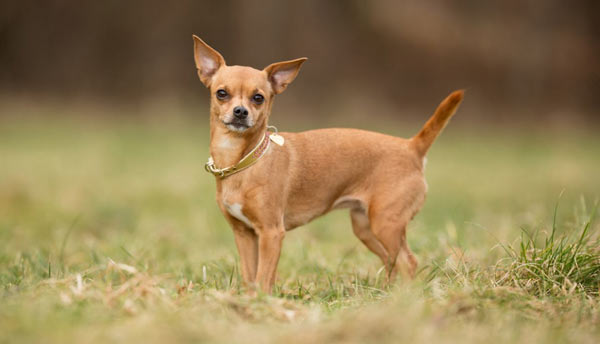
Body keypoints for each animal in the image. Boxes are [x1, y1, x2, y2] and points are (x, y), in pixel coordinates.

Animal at [192, 35, 464, 292]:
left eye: (258, 98)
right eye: (221, 93)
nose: (240, 112)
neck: (243, 161)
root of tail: (411, 147)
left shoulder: (271, 233)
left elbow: (263, 279)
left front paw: (262, 301)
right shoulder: (245, 235)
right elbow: (250, 278)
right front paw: (250, 301)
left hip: (386, 224)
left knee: (409, 262)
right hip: (366, 228)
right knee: (392, 261)